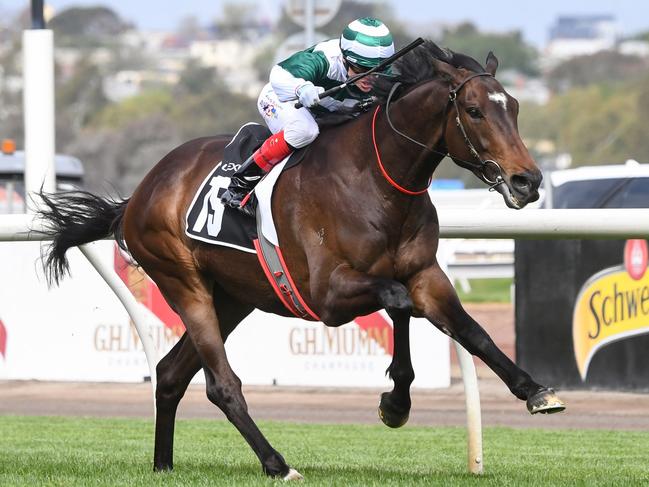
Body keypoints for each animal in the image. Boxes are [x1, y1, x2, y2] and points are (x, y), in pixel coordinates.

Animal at [38, 41, 560, 480]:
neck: (374, 178)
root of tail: (140, 193)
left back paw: (163, 465)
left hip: (234, 296)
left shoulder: (424, 274)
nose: (527, 181)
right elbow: (398, 302)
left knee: (169, 374)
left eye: (514, 107)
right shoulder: (326, 295)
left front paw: (535, 390)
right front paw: (395, 401)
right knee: (221, 384)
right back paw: (277, 463)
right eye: (474, 111)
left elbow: (469, 330)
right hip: (183, 282)